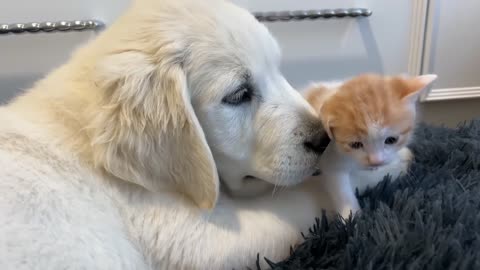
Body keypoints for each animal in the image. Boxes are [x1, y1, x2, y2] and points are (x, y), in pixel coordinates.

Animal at [306, 73, 436, 217]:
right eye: (355, 144)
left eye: (391, 140)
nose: (376, 161)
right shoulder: (330, 156)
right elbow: (340, 188)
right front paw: (351, 217)